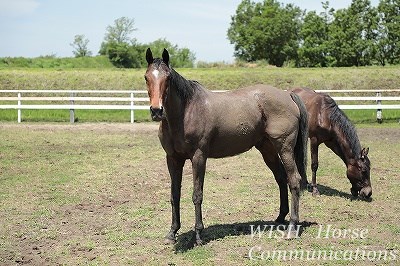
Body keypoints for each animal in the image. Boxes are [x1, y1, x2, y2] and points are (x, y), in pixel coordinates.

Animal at [145, 48, 308, 245]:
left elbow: (197, 195)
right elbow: (174, 195)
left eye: (168, 78)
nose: (156, 111)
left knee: (294, 180)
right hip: (267, 149)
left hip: (285, 148)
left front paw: (198, 235)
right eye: (146, 77)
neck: (186, 112)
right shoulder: (173, 159)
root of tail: (288, 95)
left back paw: (292, 227)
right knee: (281, 178)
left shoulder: (198, 157)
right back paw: (280, 218)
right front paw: (172, 233)